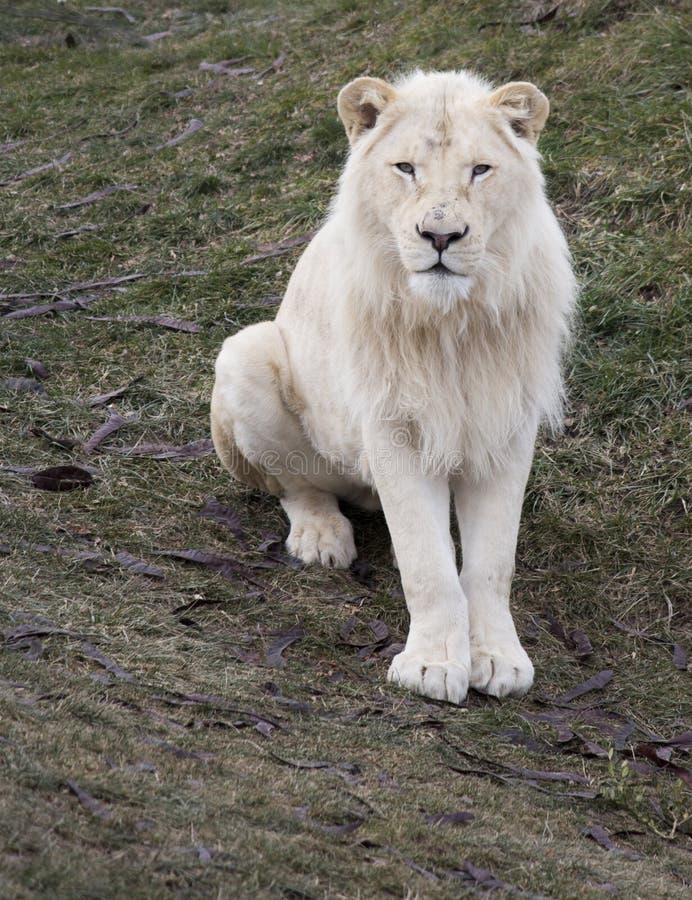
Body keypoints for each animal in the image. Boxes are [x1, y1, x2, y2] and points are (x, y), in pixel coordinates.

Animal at [211, 70, 576, 705]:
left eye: (480, 170)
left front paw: (498, 659)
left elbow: (490, 562)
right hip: (245, 354)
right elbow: (426, 561)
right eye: (405, 167)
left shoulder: (504, 426)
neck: (452, 322)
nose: (441, 236)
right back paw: (321, 537)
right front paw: (432, 666)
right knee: (294, 484)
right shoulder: (394, 427)